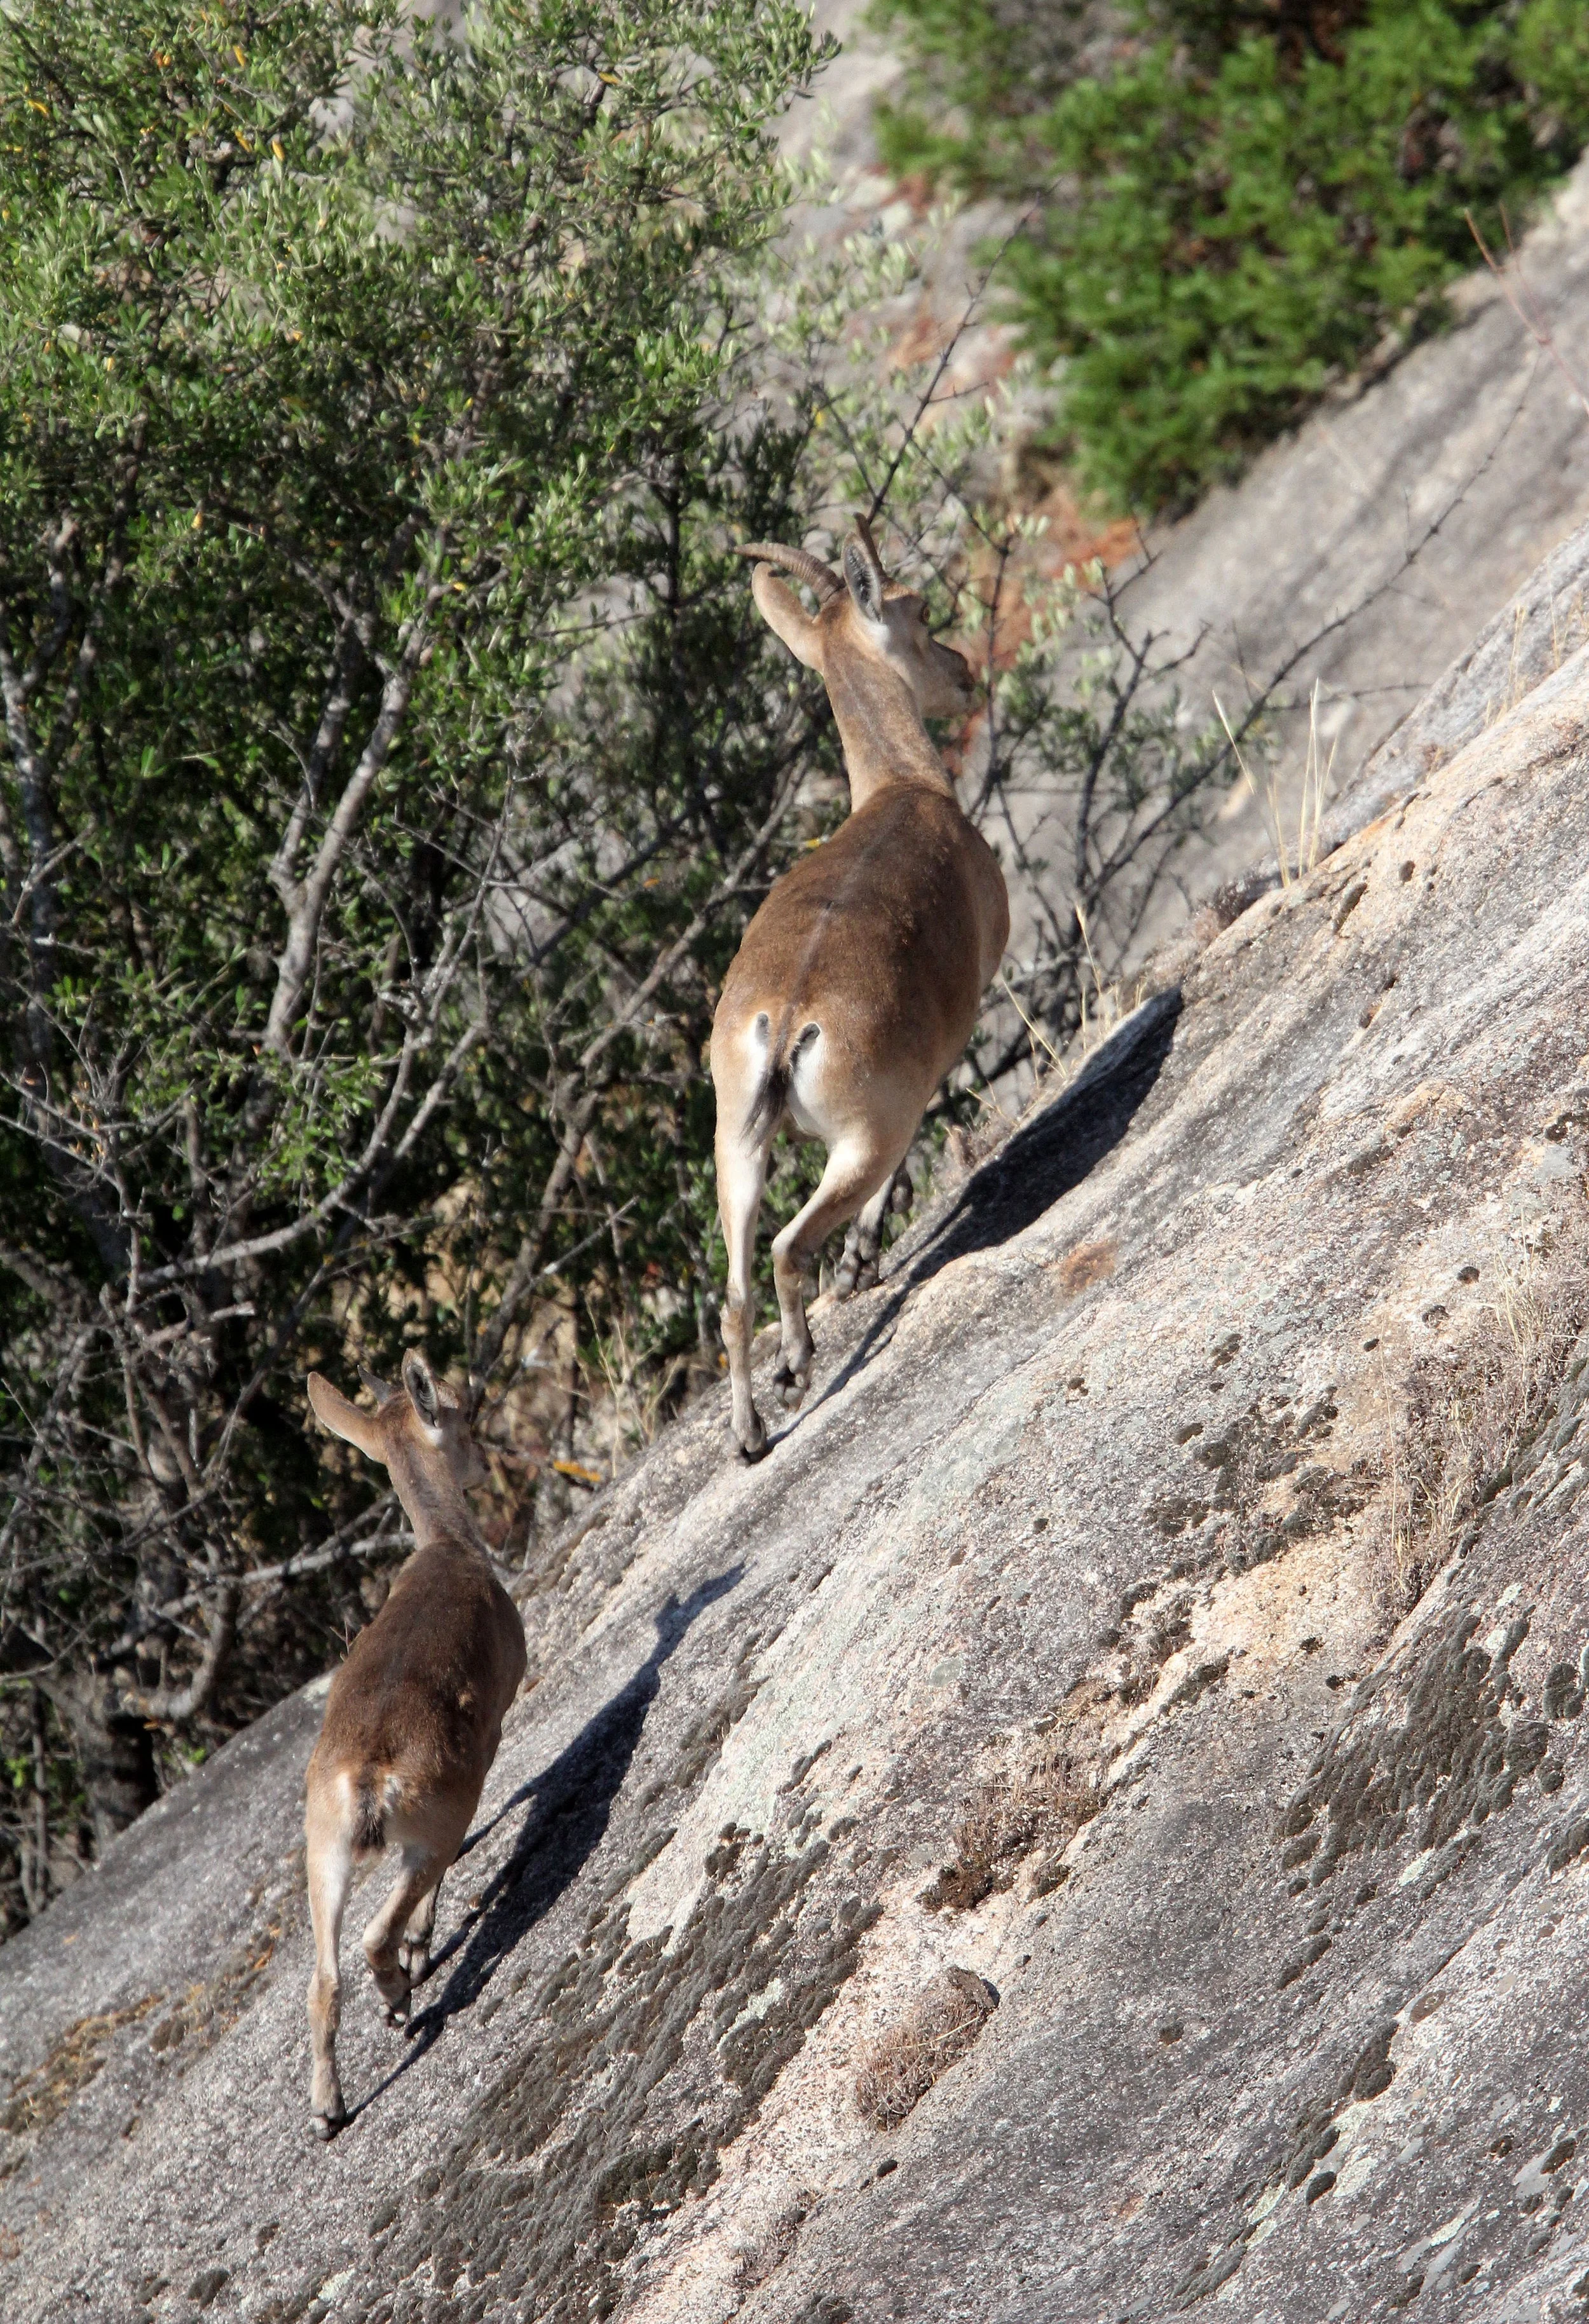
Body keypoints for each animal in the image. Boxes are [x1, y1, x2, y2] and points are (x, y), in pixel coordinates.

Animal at [301, 1352, 526, 2139]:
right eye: (467, 1413)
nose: (487, 1465)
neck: (448, 1548)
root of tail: (367, 1780)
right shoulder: (493, 1729)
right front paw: (425, 1950)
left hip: (322, 1853)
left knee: (324, 1977)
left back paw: (327, 2110)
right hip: (436, 1814)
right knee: (382, 1926)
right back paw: (404, 1991)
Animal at [712, 517, 1009, 1459]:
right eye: (919, 613)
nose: (963, 671)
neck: (902, 786)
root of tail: (786, 1023)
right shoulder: (925, 1067)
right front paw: (865, 1260)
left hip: (735, 1145)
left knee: (734, 1293)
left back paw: (751, 1434)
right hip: (858, 1136)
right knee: (786, 1247)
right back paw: (800, 1361)